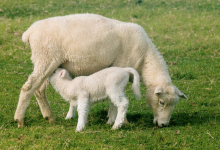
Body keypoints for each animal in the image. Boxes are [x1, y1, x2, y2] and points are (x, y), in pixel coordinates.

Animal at [14, 13, 187, 127]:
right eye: (162, 102)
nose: (163, 125)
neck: (145, 58)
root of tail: (30, 32)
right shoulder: (122, 66)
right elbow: (117, 97)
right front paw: (119, 120)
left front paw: (112, 118)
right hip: (46, 58)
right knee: (28, 87)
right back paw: (19, 120)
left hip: (47, 62)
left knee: (38, 90)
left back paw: (49, 117)